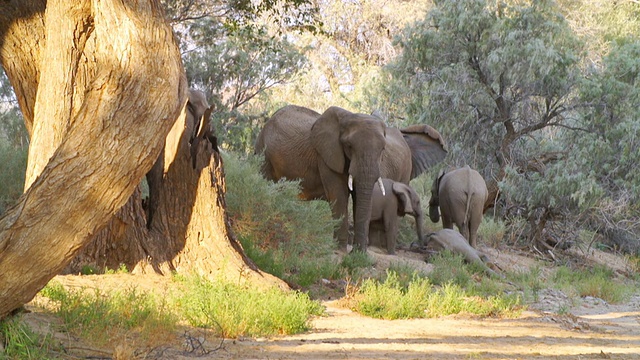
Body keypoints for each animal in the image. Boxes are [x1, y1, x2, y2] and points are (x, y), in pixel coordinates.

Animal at [254, 105, 444, 250]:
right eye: (349, 146)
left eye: (383, 149)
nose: (358, 251)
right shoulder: (327, 155)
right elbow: (339, 194)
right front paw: (341, 248)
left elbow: (360, 198)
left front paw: (358, 253)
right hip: (263, 150)